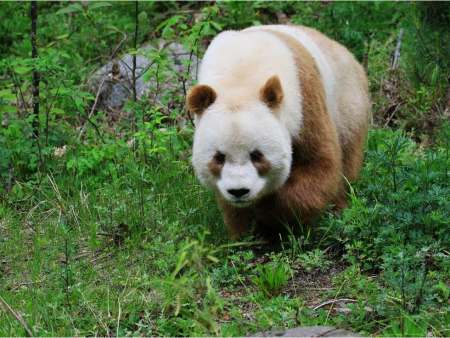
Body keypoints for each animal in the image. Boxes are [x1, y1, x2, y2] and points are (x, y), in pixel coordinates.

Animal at [185, 25, 370, 239]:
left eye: (257, 155)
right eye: (219, 157)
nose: (239, 191)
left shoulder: (304, 101)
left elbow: (318, 164)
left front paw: (270, 215)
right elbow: (232, 210)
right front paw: (246, 235)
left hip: (347, 103)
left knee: (347, 162)